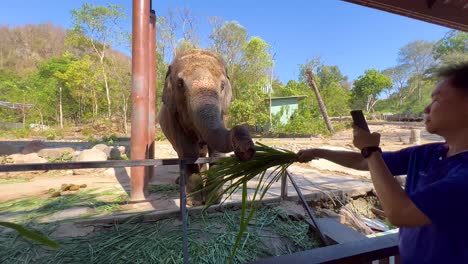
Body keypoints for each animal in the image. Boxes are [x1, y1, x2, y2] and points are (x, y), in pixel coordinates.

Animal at [158, 49, 256, 206]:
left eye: (222, 85)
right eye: (180, 84)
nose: (247, 149)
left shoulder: (222, 115)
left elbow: (216, 153)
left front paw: (213, 200)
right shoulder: (174, 118)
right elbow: (188, 152)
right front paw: (194, 203)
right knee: (182, 153)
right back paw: (180, 182)